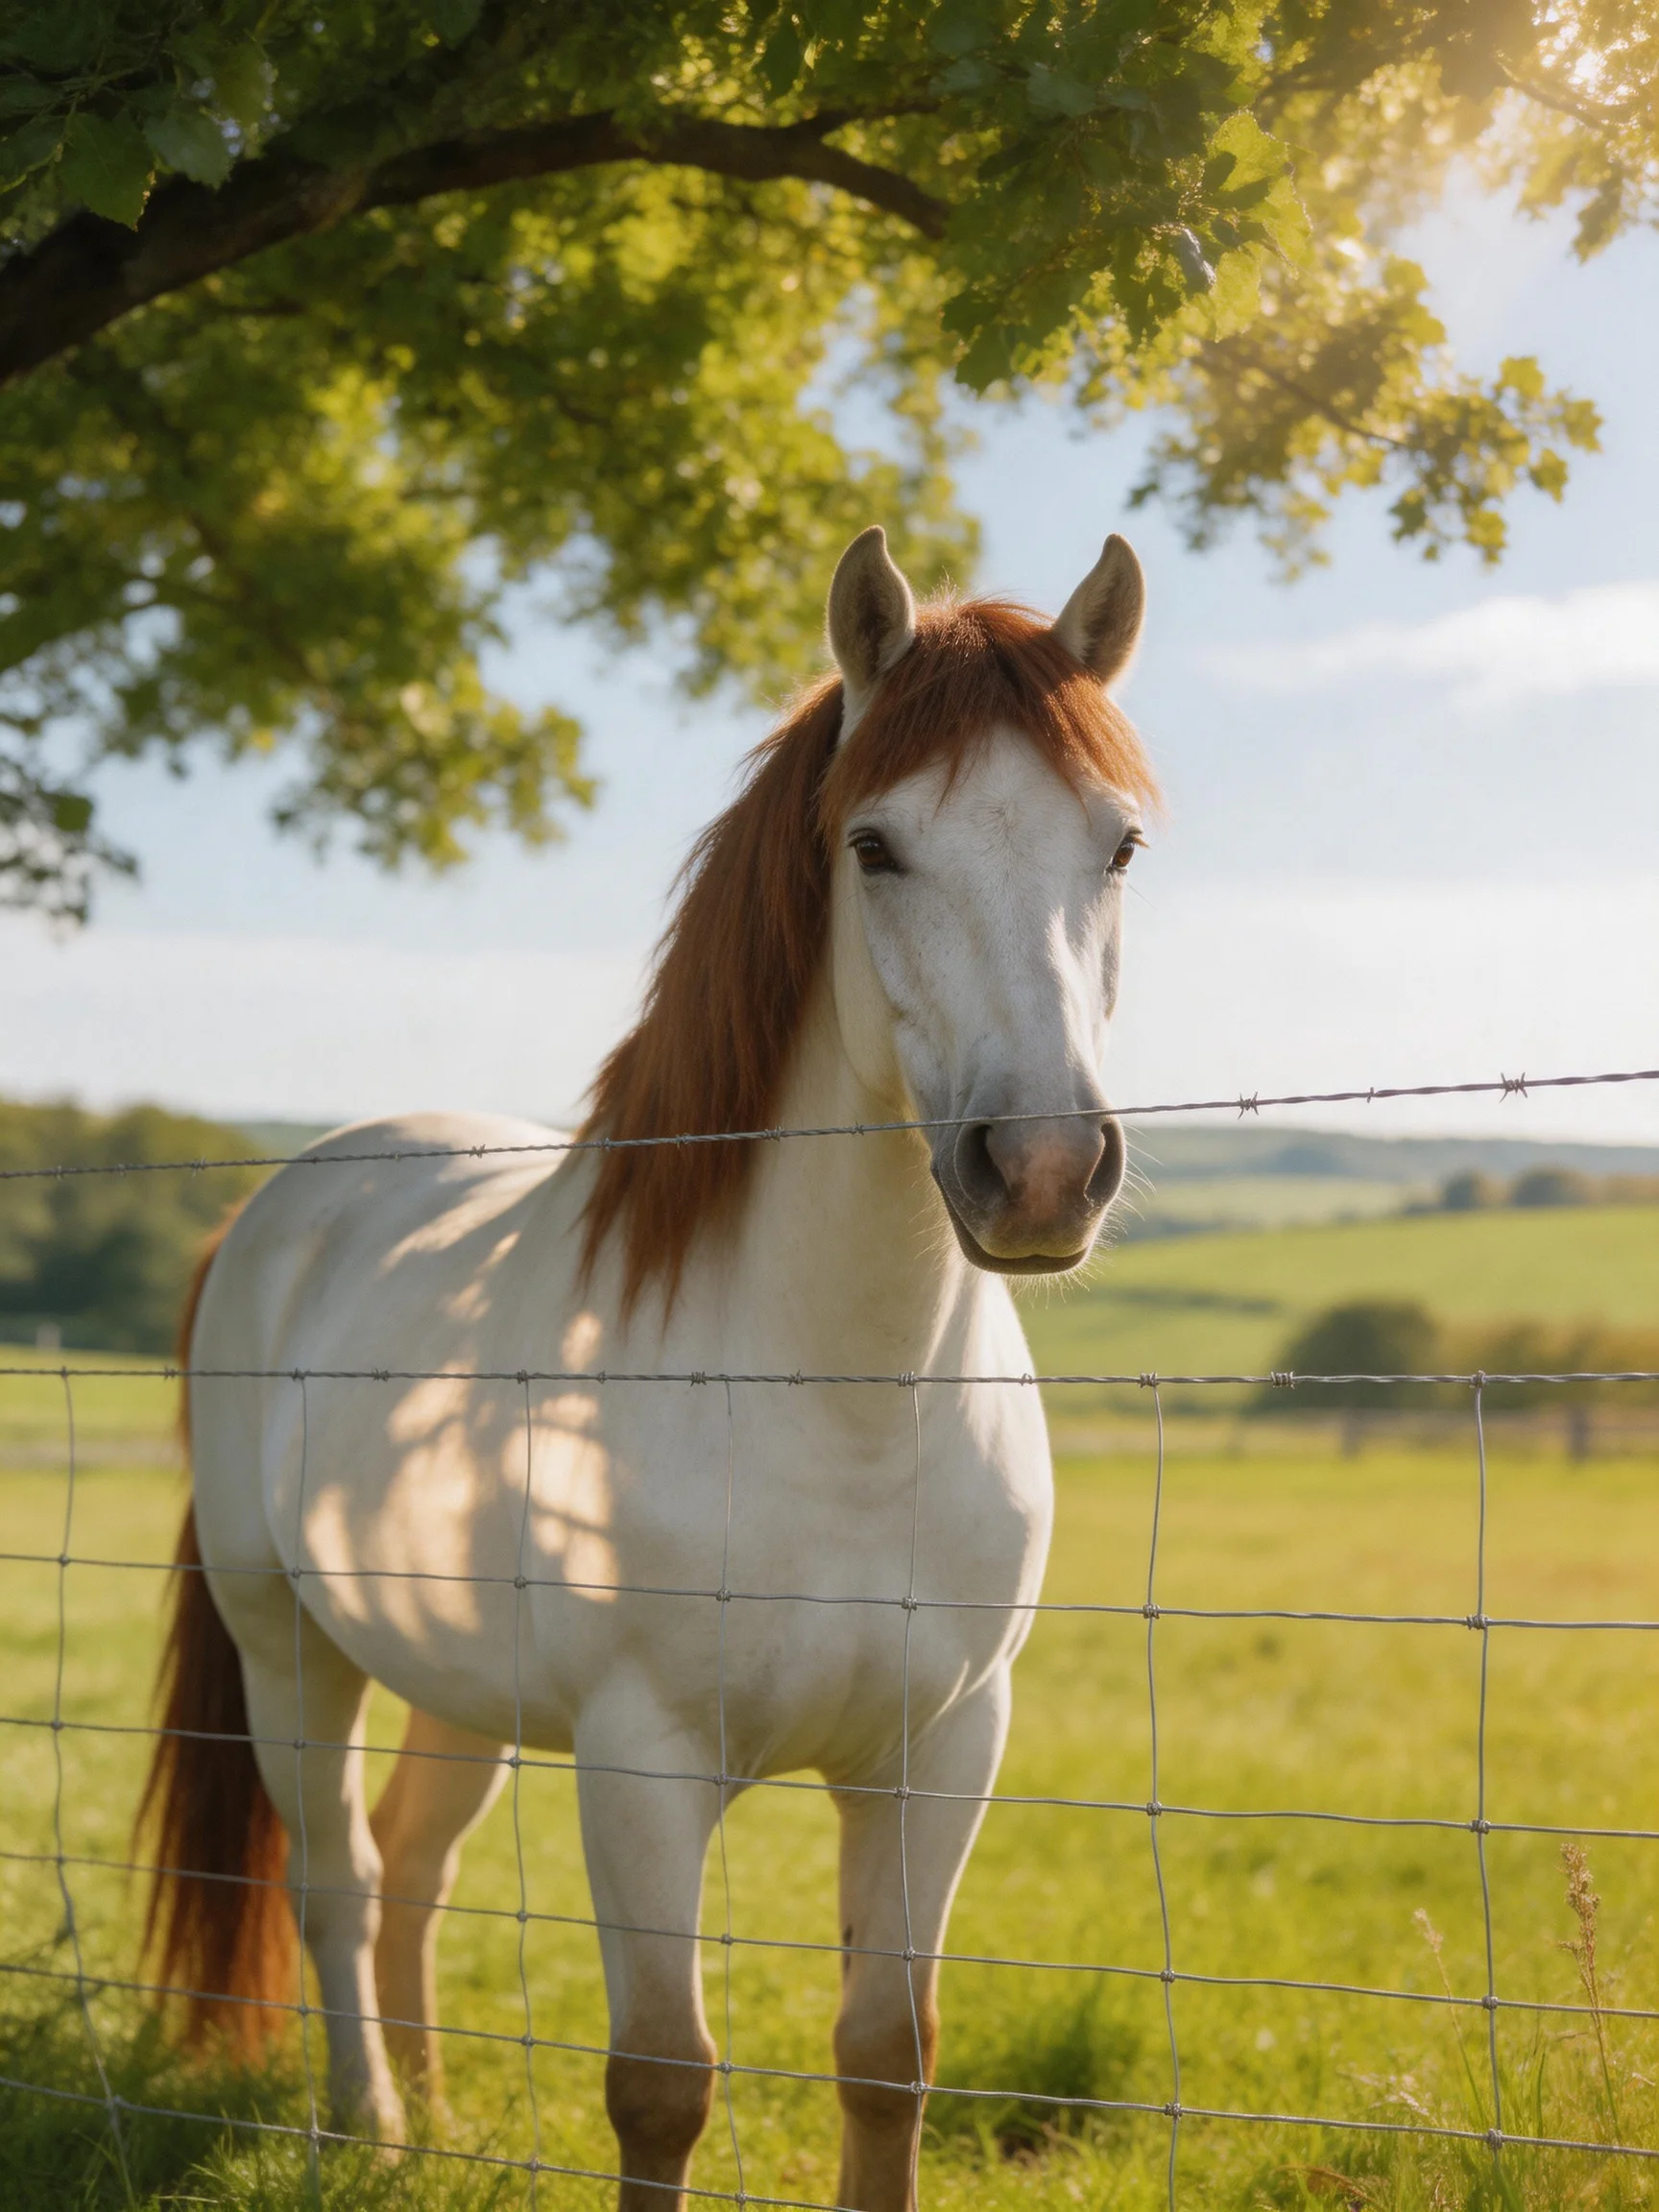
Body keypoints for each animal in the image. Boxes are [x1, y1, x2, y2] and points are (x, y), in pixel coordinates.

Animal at [139, 523, 1158, 2212]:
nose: (1041, 1172)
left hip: (455, 1680)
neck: (837, 1406)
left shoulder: (940, 1753)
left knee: (416, 1868)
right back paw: (372, 2124)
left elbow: (888, 2056)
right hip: (290, 1649)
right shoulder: (642, 1769)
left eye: (1120, 845)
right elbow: (663, 2084)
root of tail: (282, 1209)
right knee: (341, 1879)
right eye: (875, 846)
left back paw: (437, 2113)